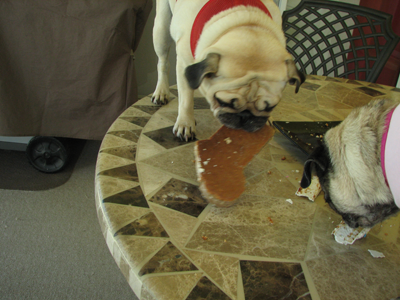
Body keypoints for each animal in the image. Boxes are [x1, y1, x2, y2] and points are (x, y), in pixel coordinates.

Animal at [152, 0, 304, 141]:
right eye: (223, 102)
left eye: (270, 107)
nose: (245, 116)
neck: (248, 22)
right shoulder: (184, 64)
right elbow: (186, 100)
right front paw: (185, 123)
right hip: (161, 29)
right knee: (163, 63)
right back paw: (161, 91)